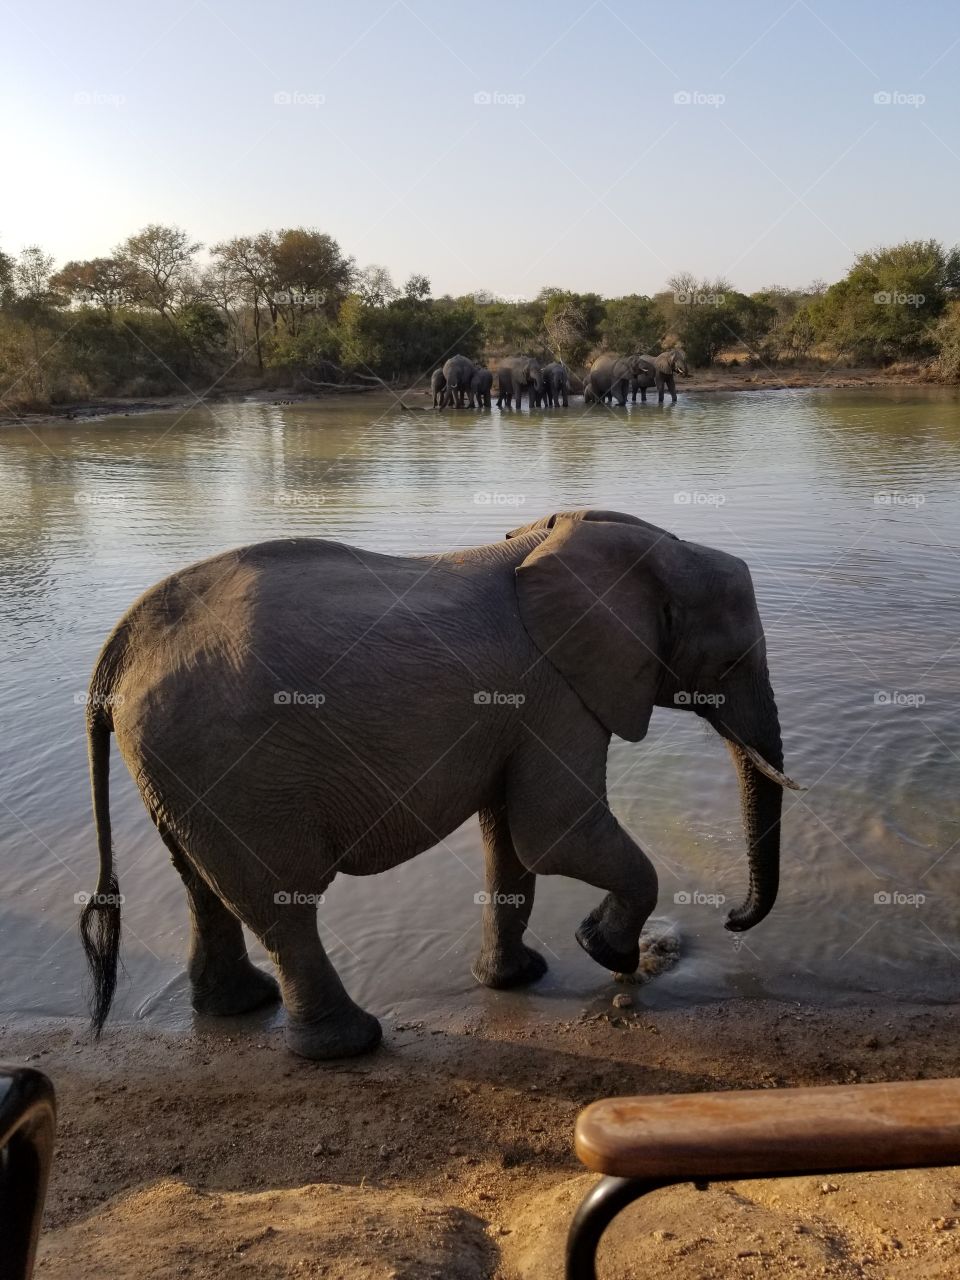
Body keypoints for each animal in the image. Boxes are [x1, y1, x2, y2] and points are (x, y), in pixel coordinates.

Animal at [79, 508, 797, 1061]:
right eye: (730, 662)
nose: (730, 919)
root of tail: (117, 652)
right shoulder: (557, 693)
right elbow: (555, 833)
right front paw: (605, 952)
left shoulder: (521, 710)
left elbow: (511, 843)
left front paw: (520, 979)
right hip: (233, 771)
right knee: (282, 901)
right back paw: (350, 1045)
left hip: (182, 773)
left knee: (204, 887)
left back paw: (238, 1008)